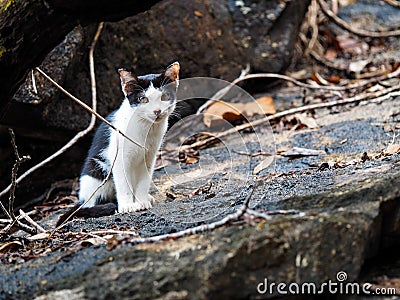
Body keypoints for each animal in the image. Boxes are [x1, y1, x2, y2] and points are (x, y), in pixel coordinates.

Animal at [56, 61, 180, 225]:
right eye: (143, 99)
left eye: (165, 96)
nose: (157, 111)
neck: (145, 128)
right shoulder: (119, 156)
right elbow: (122, 182)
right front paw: (127, 205)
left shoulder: (150, 157)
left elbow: (144, 180)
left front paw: (141, 201)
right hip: (96, 169)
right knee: (91, 202)